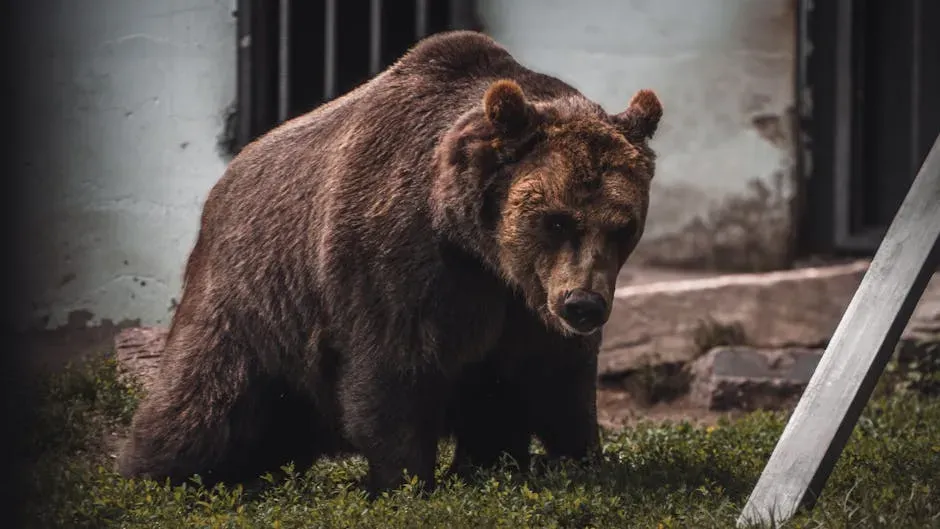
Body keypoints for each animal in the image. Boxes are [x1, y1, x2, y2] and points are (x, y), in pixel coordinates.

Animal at [116, 30, 663, 496]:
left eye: (622, 226)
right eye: (556, 220)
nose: (583, 305)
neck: (479, 247)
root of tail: (224, 182)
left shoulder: (525, 303)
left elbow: (555, 379)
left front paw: (581, 458)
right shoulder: (398, 262)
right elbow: (394, 371)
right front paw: (403, 482)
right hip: (253, 300)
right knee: (204, 406)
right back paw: (158, 474)